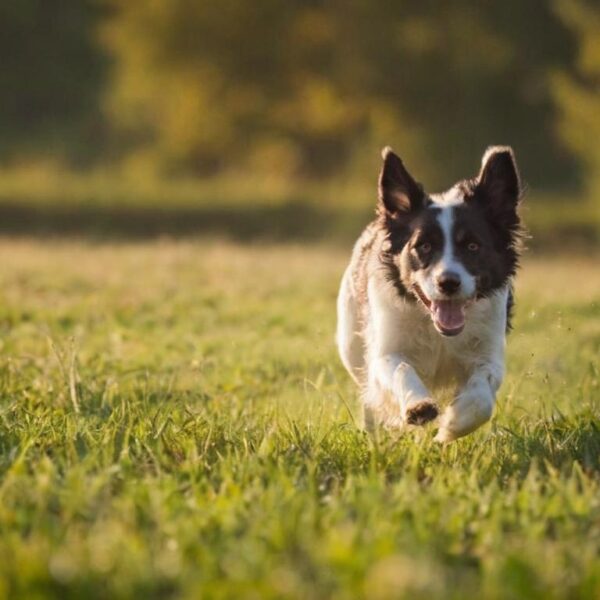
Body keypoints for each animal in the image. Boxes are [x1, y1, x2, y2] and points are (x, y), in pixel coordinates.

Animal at [336, 145, 524, 440]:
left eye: (472, 246)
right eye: (423, 246)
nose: (448, 282)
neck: (439, 333)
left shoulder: (489, 352)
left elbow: (482, 398)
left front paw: (451, 426)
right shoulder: (385, 349)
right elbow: (399, 368)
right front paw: (418, 406)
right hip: (350, 343)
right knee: (367, 393)